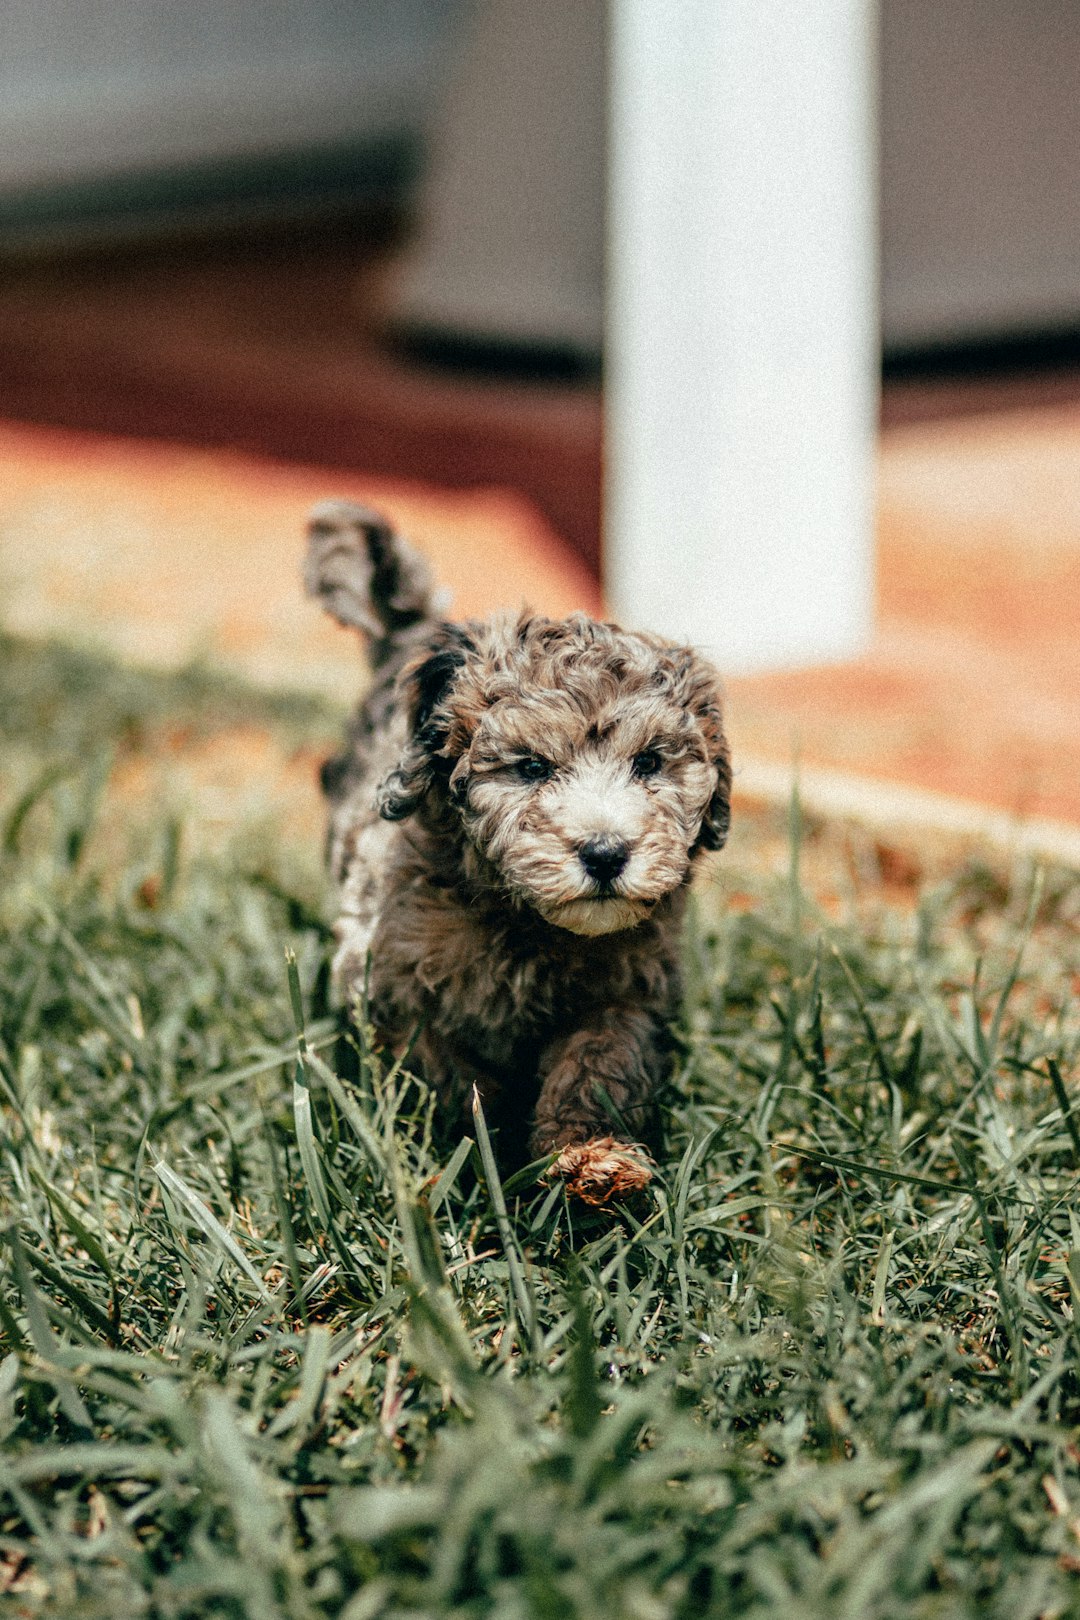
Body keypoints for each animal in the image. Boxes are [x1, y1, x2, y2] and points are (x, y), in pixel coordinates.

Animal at [304, 502, 731, 1205]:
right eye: (531, 767)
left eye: (648, 763)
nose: (605, 854)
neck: (526, 922)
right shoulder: (392, 983)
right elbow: (446, 1072)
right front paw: (477, 1143)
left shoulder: (627, 990)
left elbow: (600, 1063)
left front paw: (590, 1159)